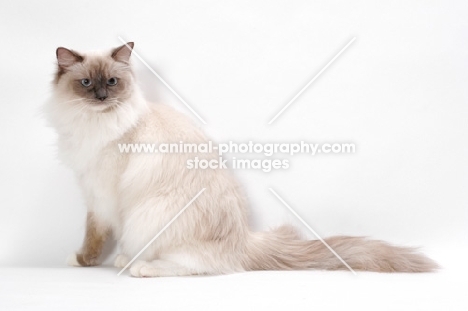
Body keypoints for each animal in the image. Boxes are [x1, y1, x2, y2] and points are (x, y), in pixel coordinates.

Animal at [44, 42, 438, 278]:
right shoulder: (93, 192)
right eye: (86, 83)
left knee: (200, 265)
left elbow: (95, 236)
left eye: (112, 81)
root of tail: (244, 239)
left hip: (152, 213)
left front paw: (82, 261)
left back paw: (142, 267)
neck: (93, 123)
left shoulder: (103, 196)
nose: (101, 96)